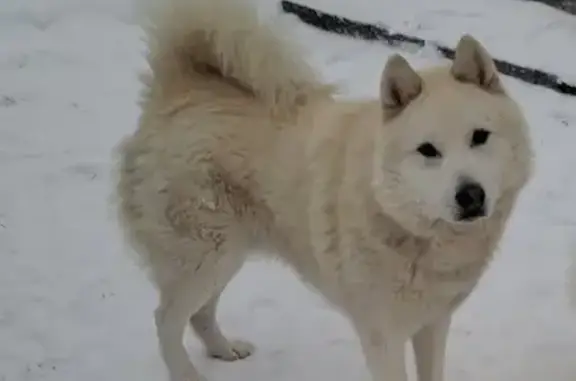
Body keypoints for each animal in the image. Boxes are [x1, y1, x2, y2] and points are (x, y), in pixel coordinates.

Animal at [116, 0, 536, 380]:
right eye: (428, 150)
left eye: (479, 137)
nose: (471, 196)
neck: (402, 220)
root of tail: (180, 85)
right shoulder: (382, 337)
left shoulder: (433, 324)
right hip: (205, 256)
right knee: (166, 320)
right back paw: (188, 373)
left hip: (226, 255)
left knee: (199, 314)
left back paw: (224, 349)